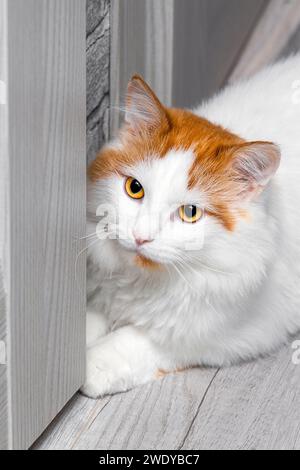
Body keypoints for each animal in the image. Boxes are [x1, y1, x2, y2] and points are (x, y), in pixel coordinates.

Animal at [81, 56, 300, 400]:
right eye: (134, 189)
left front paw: (90, 365)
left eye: (190, 213)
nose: (140, 237)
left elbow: (140, 339)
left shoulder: (228, 330)